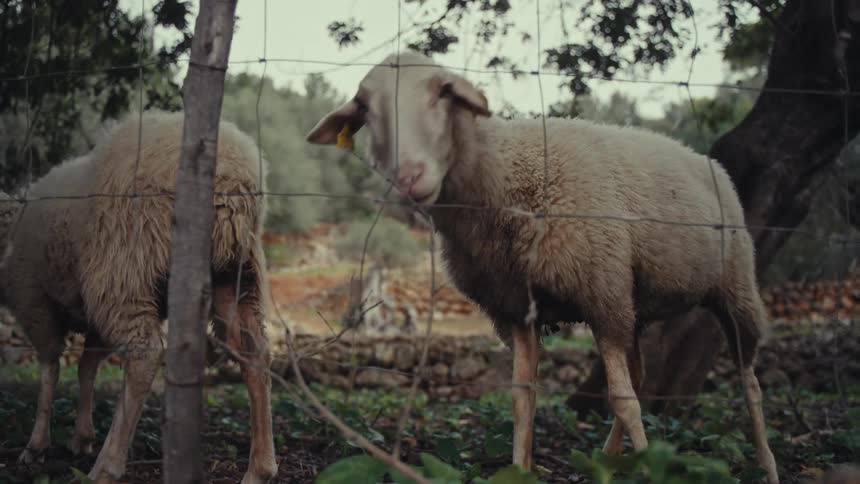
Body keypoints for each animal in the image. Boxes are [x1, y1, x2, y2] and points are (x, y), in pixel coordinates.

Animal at [0, 110, 278, 484]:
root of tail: (234, 173)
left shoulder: (34, 302)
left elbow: (50, 370)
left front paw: (37, 445)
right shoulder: (90, 317)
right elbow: (86, 367)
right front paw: (81, 437)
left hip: (122, 272)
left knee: (144, 354)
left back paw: (107, 465)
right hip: (236, 273)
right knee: (253, 352)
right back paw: (260, 467)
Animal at [306, 51, 780, 483]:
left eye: (443, 92)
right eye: (365, 108)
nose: (408, 178)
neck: (506, 181)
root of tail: (706, 160)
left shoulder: (600, 292)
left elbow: (622, 399)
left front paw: (655, 470)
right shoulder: (515, 307)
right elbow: (522, 398)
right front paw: (521, 467)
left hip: (733, 287)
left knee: (749, 383)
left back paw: (767, 465)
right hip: (635, 302)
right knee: (642, 373)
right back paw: (609, 460)